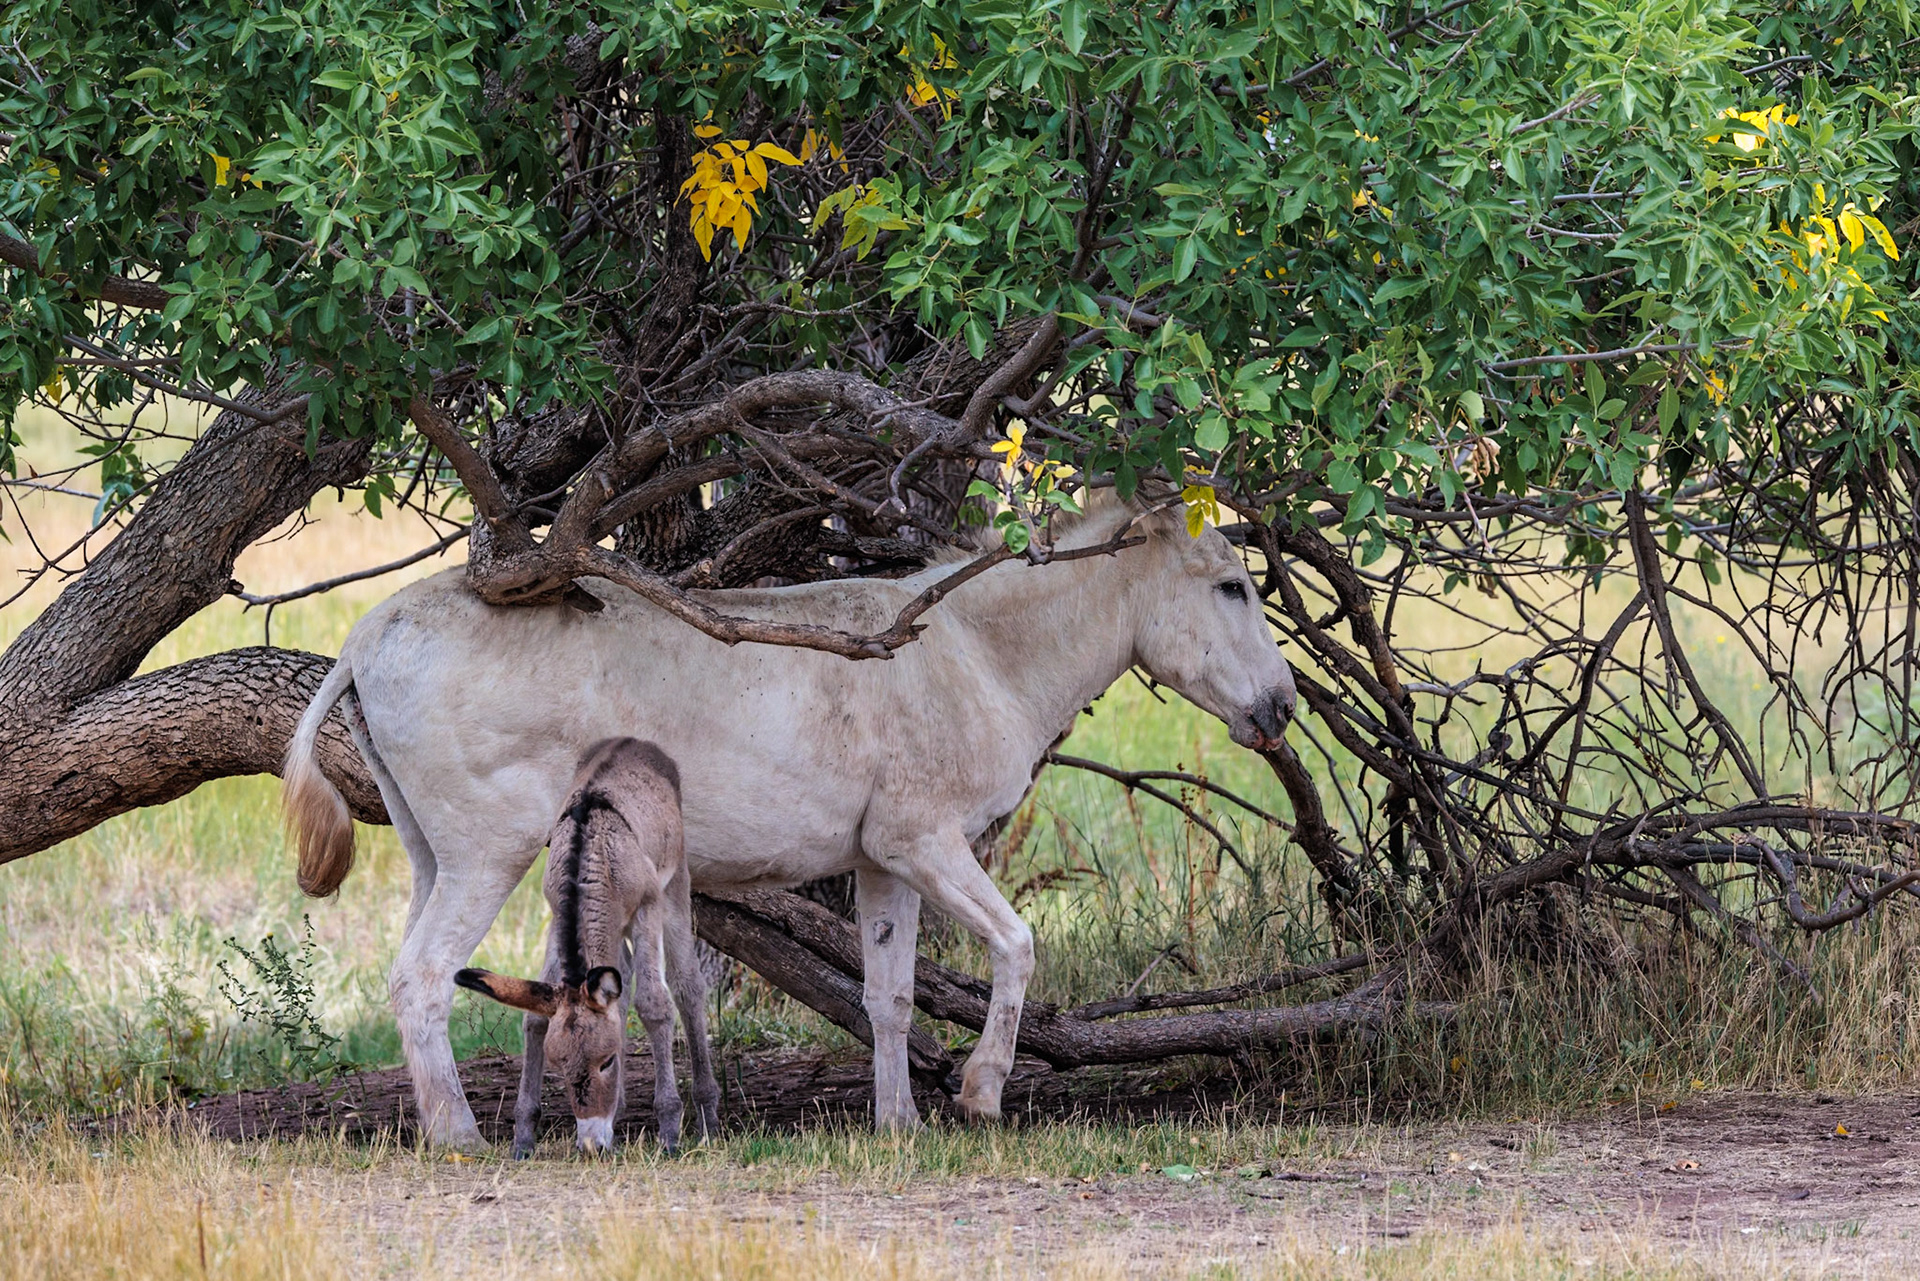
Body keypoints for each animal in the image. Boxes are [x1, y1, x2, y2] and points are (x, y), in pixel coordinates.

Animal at [454, 737, 719, 1156]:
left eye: (607, 1062)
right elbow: (535, 1019)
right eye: (559, 1067)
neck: (589, 860)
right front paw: (523, 1137)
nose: (592, 1144)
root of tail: (632, 741)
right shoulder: (556, 915)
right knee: (621, 988)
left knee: (687, 986)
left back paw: (707, 1115)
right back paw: (623, 1112)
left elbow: (654, 1005)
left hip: (675, 887)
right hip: (615, 933)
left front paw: (669, 1131)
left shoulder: (647, 908)